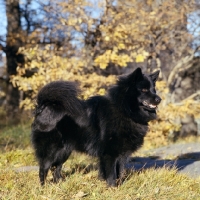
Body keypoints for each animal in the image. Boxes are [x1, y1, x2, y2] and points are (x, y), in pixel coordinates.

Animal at [32, 67, 162, 186]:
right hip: (51, 150)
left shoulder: (121, 154)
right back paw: (44, 187)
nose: (159, 99)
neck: (124, 110)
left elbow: (119, 172)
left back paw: (60, 184)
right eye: (144, 89)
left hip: (64, 151)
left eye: (154, 90)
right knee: (44, 168)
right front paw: (112, 188)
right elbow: (111, 174)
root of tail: (42, 107)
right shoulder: (109, 153)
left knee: (56, 168)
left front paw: (119, 186)